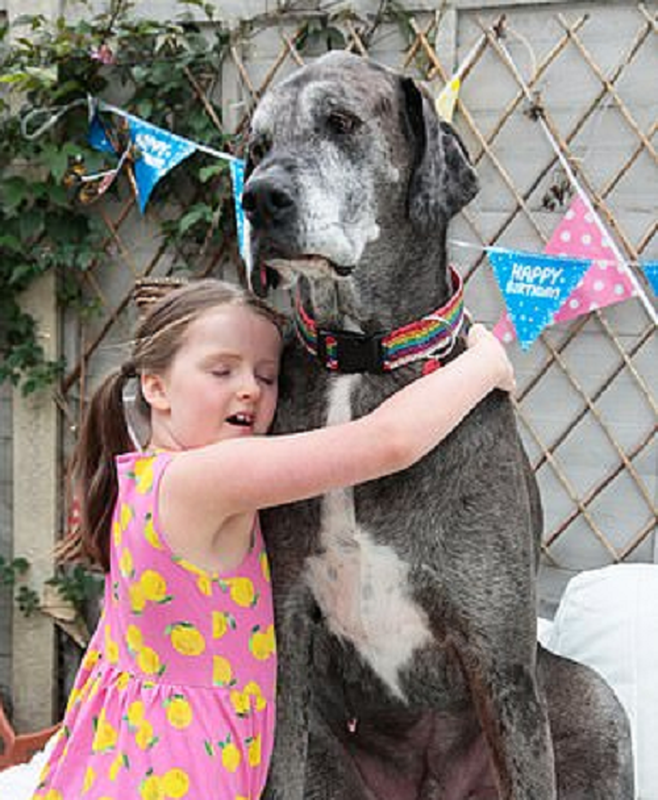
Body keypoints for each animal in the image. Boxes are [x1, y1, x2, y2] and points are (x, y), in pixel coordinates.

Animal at [240, 51, 632, 800]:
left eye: (341, 123)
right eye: (256, 145)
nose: (258, 198)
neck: (360, 357)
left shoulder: (497, 654)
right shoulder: (288, 630)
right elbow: (278, 763)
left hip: (593, 706)